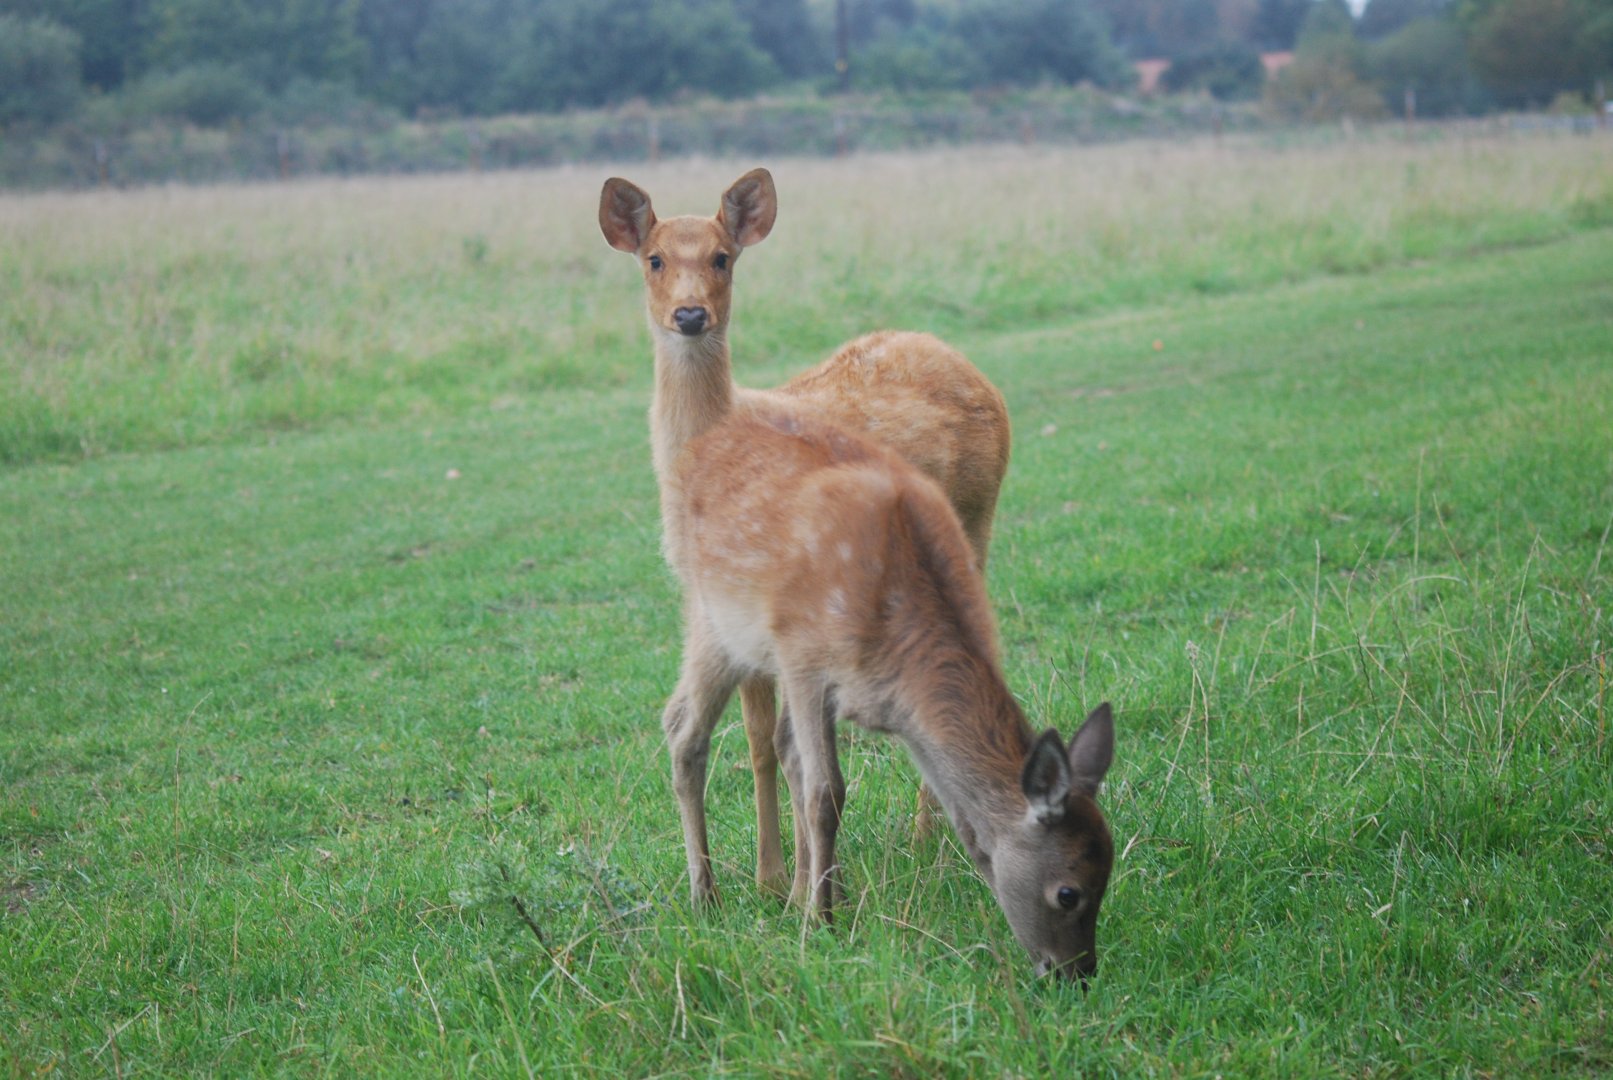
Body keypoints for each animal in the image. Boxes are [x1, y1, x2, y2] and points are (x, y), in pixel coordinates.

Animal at [599, 168, 1012, 900]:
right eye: (653, 259)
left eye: (721, 257)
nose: (690, 316)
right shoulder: (722, 600)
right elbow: (762, 737)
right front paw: (775, 877)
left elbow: (778, 739)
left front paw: (789, 881)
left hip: (976, 516)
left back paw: (928, 835)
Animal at [659, 403, 1116, 981]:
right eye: (1068, 893)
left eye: (1109, 875)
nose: (1075, 973)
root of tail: (696, 449)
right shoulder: (803, 656)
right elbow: (826, 791)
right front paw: (821, 926)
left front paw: (819, 903)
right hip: (715, 617)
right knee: (682, 729)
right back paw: (707, 899)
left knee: (748, 737)